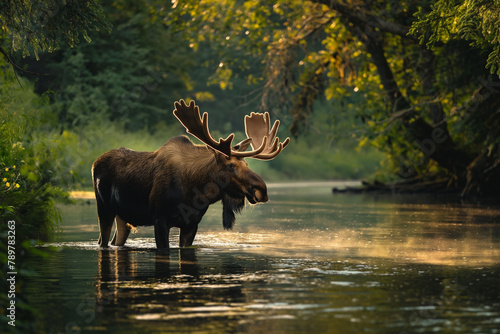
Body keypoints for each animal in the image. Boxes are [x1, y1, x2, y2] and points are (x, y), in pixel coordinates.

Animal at [92, 100, 292, 249]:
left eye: (247, 164)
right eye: (231, 166)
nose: (262, 190)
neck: (196, 192)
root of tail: (94, 163)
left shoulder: (191, 224)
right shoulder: (160, 219)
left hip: (123, 216)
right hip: (104, 209)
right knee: (102, 241)